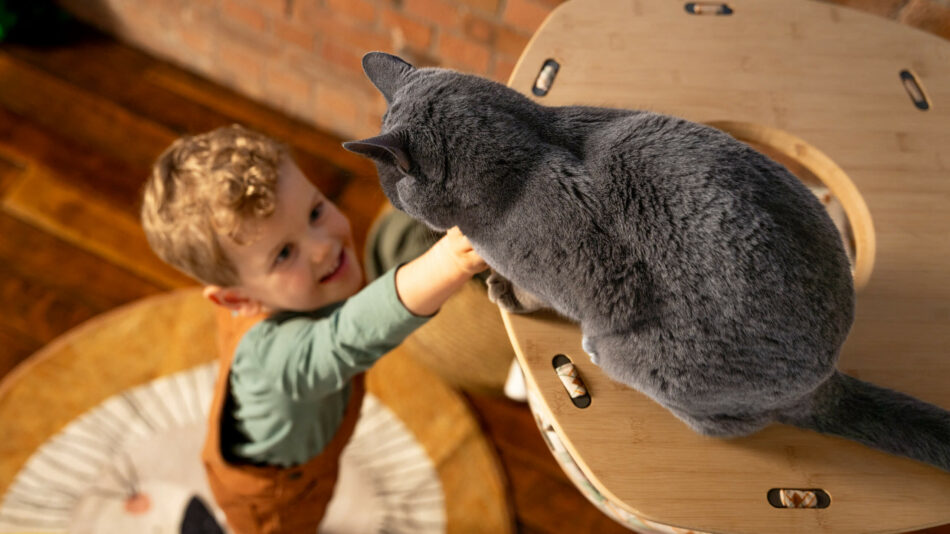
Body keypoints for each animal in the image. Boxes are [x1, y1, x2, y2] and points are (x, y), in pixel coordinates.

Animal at [346, 51, 950, 474]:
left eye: (389, 184)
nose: (394, 201)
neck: (530, 145)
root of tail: (827, 380)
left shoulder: (564, 275)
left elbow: (532, 291)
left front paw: (506, 294)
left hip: (640, 355)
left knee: (728, 425)